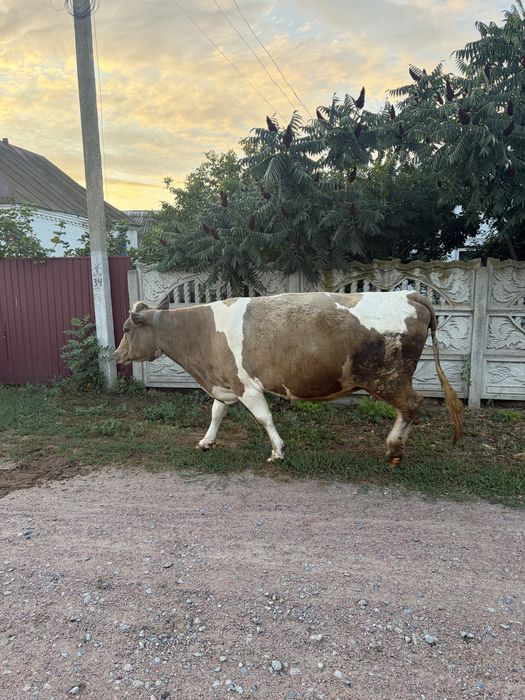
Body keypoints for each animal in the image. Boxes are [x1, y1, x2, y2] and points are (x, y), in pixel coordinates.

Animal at [114, 291, 462, 465]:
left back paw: (394, 449)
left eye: (127, 328)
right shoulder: (224, 381)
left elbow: (264, 418)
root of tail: (411, 294)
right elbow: (216, 412)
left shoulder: (246, 385)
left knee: (412, 405)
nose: (116, 355)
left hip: (389, 377)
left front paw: (278, 451)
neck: (201, 332)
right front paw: (206, 442)